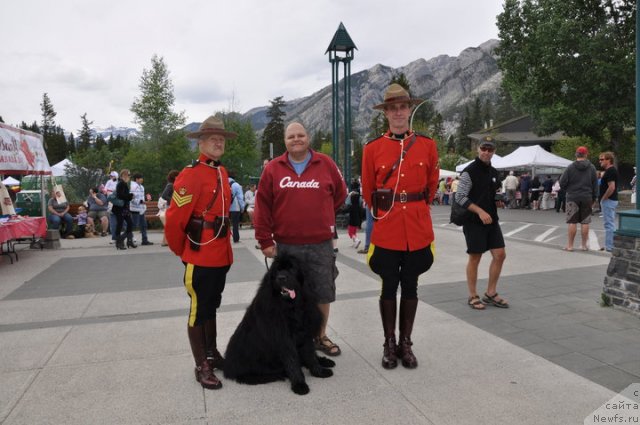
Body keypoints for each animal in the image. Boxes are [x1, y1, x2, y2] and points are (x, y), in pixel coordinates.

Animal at [224, 252, 336, 394]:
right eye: (277, 270)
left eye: (292, 268)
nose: (281, 278)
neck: (292, 306)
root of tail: (226, 366)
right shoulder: (284, 338)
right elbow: (292, 361)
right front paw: (299, 384)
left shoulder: (305, 333)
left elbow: (310, 355)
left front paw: (319, 371)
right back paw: (280, 374)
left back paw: (324, 361)